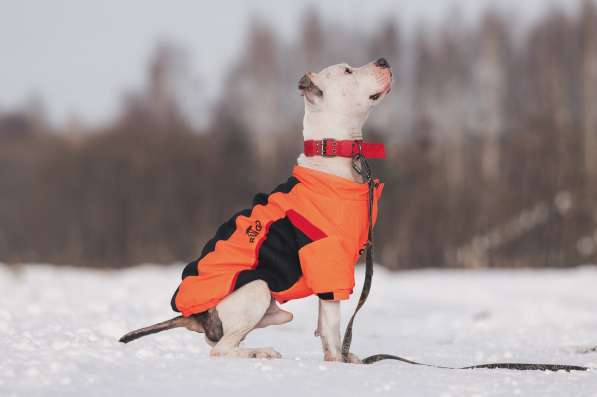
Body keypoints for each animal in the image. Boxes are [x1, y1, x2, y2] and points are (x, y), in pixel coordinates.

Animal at [119, 58, 394, 362]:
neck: (333, 156)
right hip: (257, 287)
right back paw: (261, 352)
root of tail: (195, 315)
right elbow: (332, 326)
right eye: (347, 71)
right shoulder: (327, 262)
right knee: (221, 348)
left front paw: (346, 358)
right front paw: (338, 362)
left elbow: (324, 326)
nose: (383, 61)